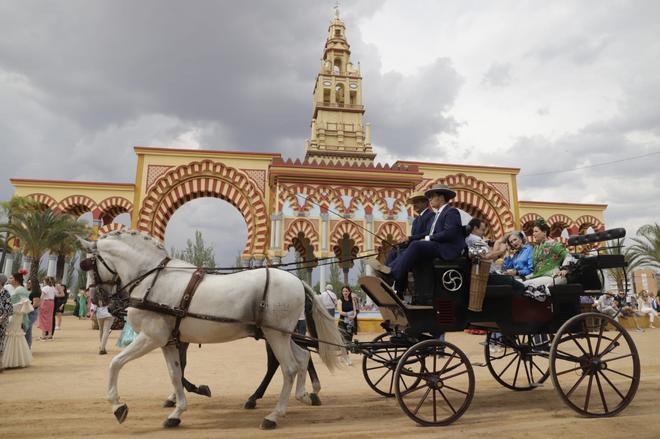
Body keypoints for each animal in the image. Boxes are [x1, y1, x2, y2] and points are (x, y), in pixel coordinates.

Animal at [80, 232, 346, 432]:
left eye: (88, 264)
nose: (95, 297)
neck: (152, 280)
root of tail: (296, 280)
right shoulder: (169, 341)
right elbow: (175, 374)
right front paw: (177, 412)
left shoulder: (151, 337)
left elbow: (115, 363)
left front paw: (118, 407)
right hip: (280, 333)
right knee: (302, 357)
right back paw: (304, 395)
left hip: (276, 335)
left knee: (288, 367)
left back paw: (273, 415)